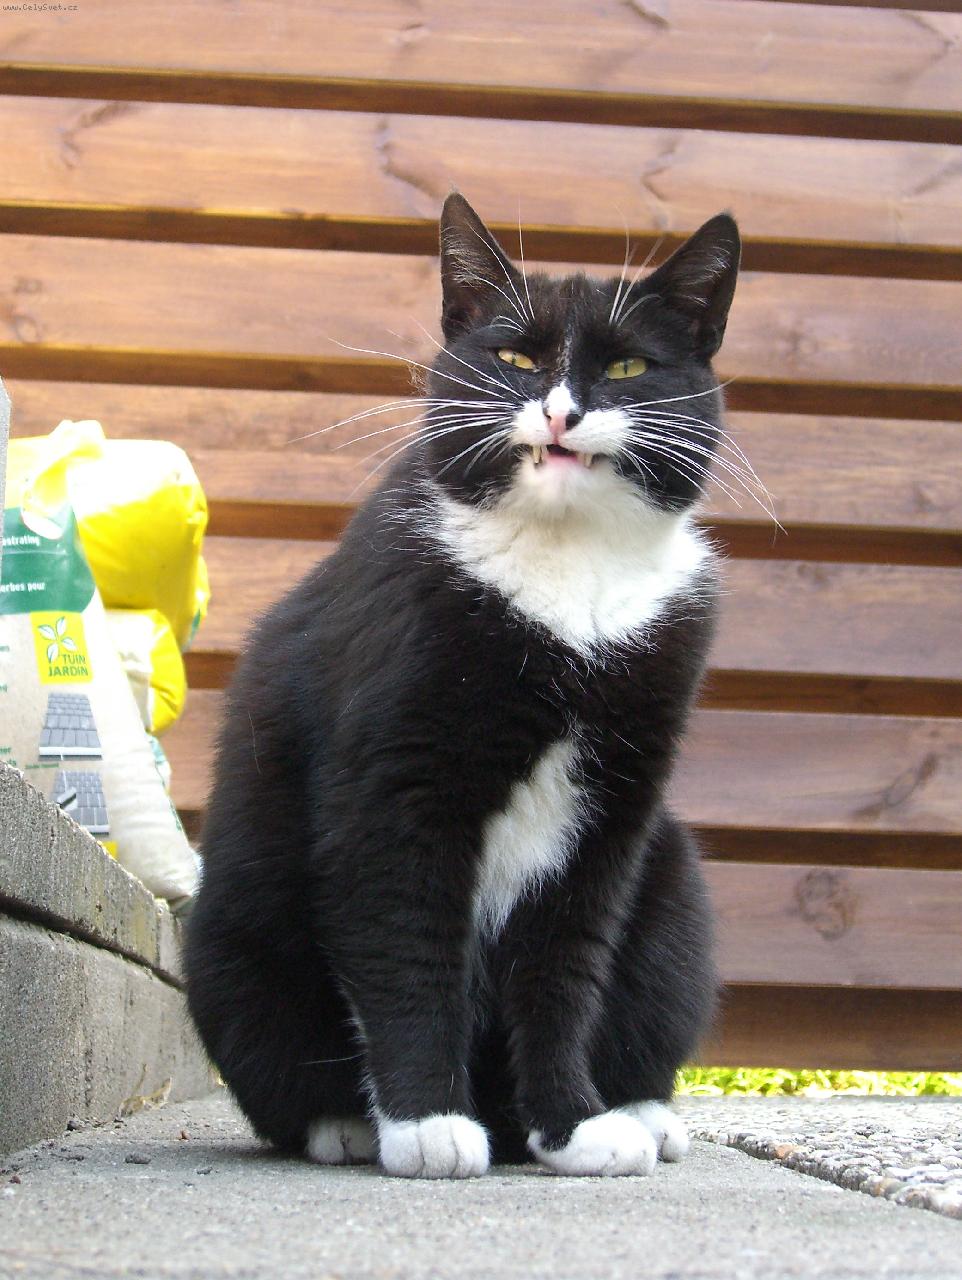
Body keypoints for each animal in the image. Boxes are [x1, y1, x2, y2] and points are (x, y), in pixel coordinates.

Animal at [185, 193, 742, 1178]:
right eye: (516, 357)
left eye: (629, 365)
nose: (561, 412)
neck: (568, 568)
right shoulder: (396, 782)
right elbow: (403, 942)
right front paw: (427, 1124)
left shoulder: (614, 811)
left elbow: (566, 968)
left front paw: (573, 1126)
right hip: (226, 938)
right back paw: (349, 1126)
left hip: (675, 885)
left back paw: (640, 1114)